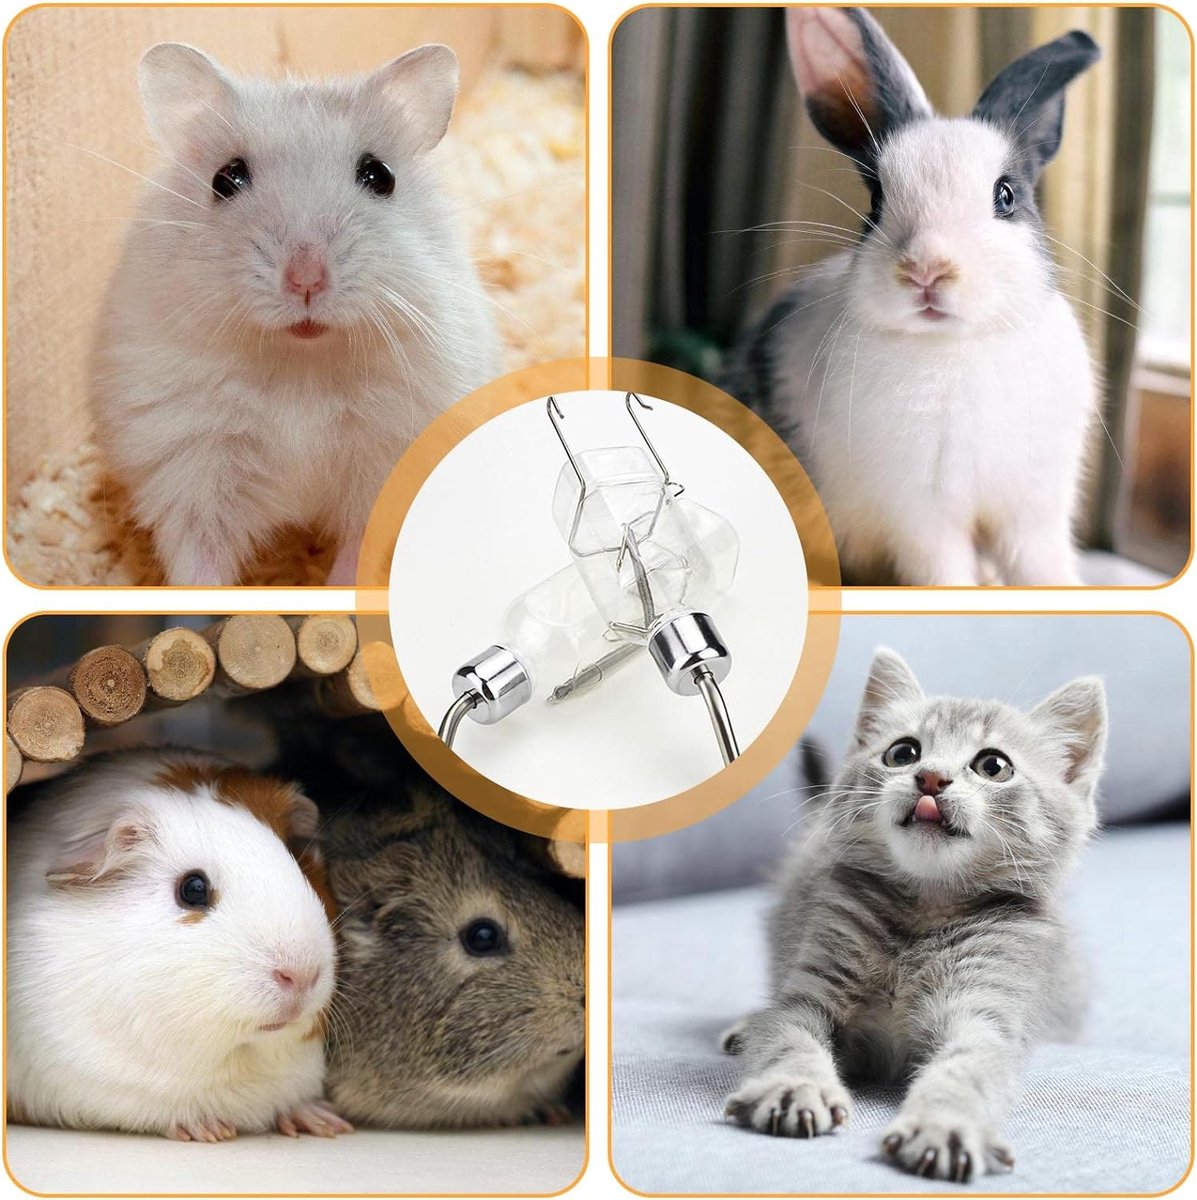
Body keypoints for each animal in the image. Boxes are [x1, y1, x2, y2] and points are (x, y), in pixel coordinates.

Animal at [93, 43, 501, 586]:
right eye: (226, 179)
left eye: (379, 176)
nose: (306, 279)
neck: (301, 366)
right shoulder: (191, 467)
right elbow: (199, 564)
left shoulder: (386, 461)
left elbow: (358, 549)